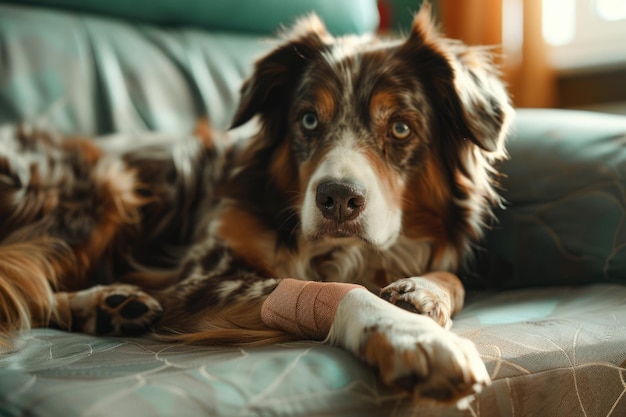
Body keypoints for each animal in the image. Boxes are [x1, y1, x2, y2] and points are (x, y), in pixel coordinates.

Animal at [0, 3, 508, 406]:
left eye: (401, 128)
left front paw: (422, 292)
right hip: (102, 188)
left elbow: (453, 278)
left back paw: (110, 305)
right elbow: (336, 289)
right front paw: (410, 336)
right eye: (308, 119)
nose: (337, 199)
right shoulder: (200, 280)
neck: (337, 251)